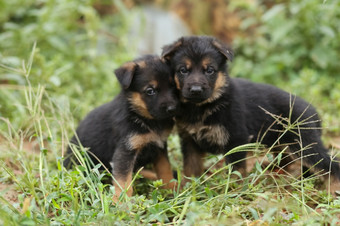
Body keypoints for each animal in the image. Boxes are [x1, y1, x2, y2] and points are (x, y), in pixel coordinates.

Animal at [64, 54, 179, 201]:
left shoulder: (159, 147)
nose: (173, 109)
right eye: (150, 91)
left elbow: (165, 170)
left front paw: (171, 189)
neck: (141, 117)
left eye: (173, 86)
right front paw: (121, 201)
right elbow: (123, 180)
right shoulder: (125, 151)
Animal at [161, 35, 340, 194]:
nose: (196, 90)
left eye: (210, 70)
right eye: (183, 70)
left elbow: (236, 172)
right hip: (284, 146)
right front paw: (188, 190)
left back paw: (332, 190)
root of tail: (314, 112)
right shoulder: (189, 141)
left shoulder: (236, 139)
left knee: (331, 165)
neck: (203, 107)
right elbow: (190, 169)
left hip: (305, 145)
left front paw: (234, 192)